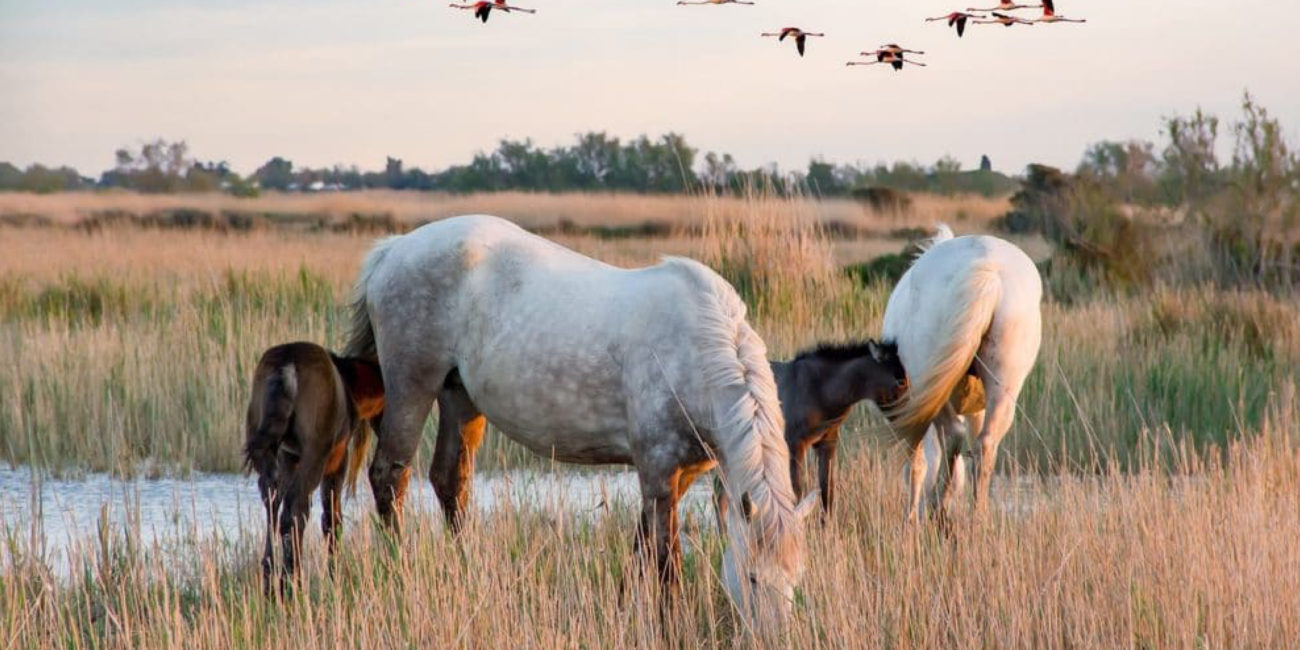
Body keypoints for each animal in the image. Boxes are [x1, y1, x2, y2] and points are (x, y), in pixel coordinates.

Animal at [345, 215, 811, 626]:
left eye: (794, 581)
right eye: (752, 577)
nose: (774, 638)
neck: (697, 349)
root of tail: (393, 250)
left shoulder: (682, 473)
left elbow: (642, 543)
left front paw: (623, 606)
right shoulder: (659, 470)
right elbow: (666, 557)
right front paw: (670, 621)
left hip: (459, 398)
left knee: (449, 481)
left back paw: (468, 568)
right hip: (412, 386)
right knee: (390, 477)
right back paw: (400, 568)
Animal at [878, 223, 1040, 522]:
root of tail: (989, 271)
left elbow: (916, 464)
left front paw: (910, 519)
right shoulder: (976, 408)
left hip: (927, 383)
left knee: (952, 434)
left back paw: (938, 508)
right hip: (1003, 386)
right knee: (984, 445)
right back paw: (978, 517)